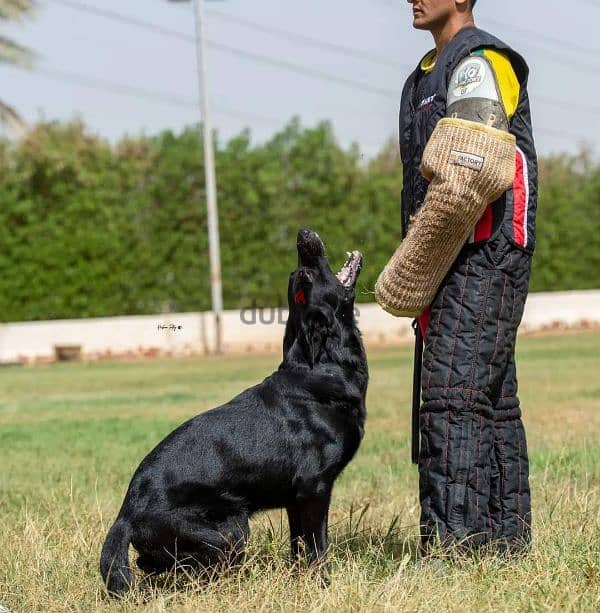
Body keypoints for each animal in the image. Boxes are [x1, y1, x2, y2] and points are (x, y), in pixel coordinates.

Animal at [99, 228, 366, 592]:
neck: (323, 366)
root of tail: (125, 515)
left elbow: (298, 548)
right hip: (232, 531)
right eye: (304, 275)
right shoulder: (314, 489)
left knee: (150, 563)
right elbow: (316, 547)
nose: (302, 235)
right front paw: (321, 585)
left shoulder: (294, 500)